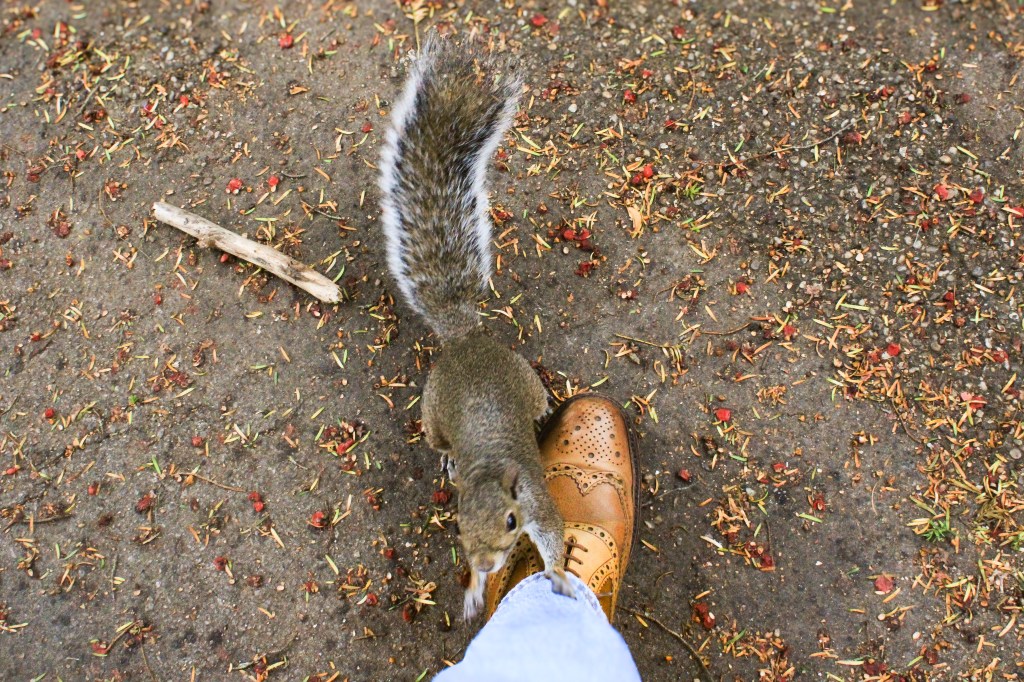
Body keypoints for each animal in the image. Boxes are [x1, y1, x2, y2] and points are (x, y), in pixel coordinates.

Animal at [379, 34, 575, 619]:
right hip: (432, 413)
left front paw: (558, 576)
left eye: (511, 520)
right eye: (459, 527)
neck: (489, 469)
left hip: (524, 380)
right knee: (438, 441)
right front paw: (473, 590)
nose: (485, 563)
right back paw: (446, 460)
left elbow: (553, 537)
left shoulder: (537, 501)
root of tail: (464, 341)